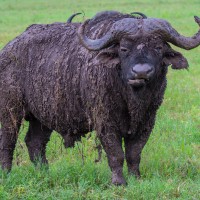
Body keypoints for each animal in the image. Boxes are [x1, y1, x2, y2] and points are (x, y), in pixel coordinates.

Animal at [0, 11, 200, 186]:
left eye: (158, 47)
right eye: (124, 48)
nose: (141, 72)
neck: (131, 99)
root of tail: (8, 49)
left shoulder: (147, 121)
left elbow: (134, 153)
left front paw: (135, 178)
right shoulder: (105, 122)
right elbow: (116, 153)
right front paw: (118, 182)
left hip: (42, 117)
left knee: (35, 144)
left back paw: (44, 173)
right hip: (11, 112)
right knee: (8, 141)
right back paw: (6, 173)